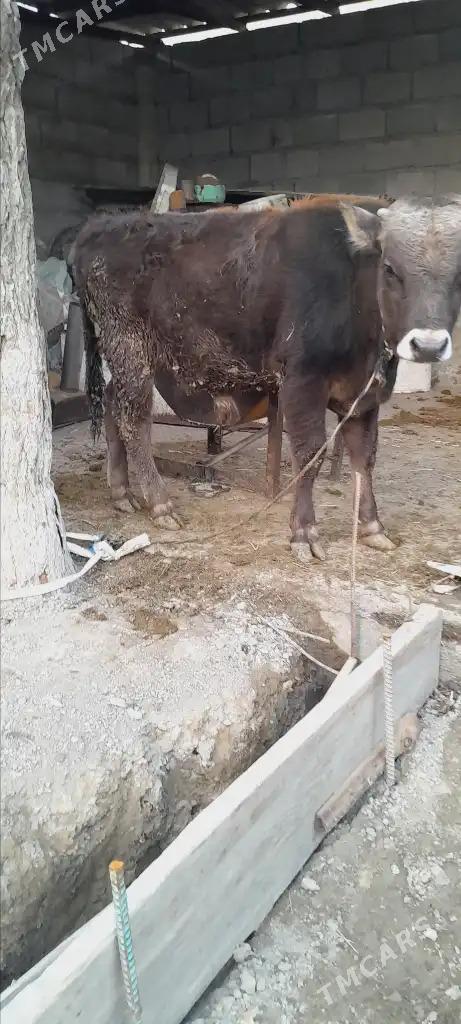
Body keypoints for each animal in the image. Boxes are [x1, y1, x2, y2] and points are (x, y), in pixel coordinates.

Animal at [73, 194, 461, 561]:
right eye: (390, 268)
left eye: (459, 274)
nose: (429, 345)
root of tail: (103, 225)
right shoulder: (302, 382)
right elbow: (310, 453)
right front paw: (304, 532)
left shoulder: (364, 393)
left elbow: (364, 456)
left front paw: (371, 526)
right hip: (130, 346)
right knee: (134, 421)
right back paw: (159, 503)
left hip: (127, 358)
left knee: (113, 403)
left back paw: (121, 492)